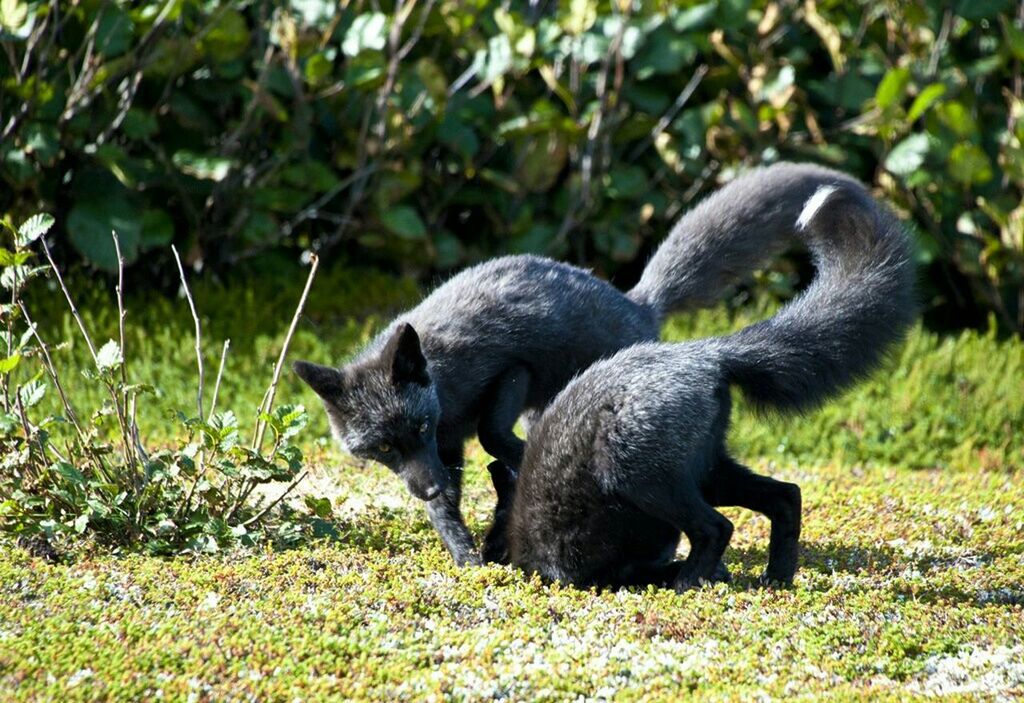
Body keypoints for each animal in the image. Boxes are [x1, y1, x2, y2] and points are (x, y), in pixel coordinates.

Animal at [290, 163, 880, 564]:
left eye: (417, 428)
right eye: (384, 448)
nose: (427, 487)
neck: (443, 379)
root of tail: (638, 300)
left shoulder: (508, 374)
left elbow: (494, 435)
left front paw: (512, 466)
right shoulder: (443, 450)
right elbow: (447, 509)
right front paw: (465, 555)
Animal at [503, 176, 913, 589]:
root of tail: (709, 351)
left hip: (638, 474)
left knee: (718, 527)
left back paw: (690, 583)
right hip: (709, 472)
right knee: (786, 496)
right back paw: (776, 577)